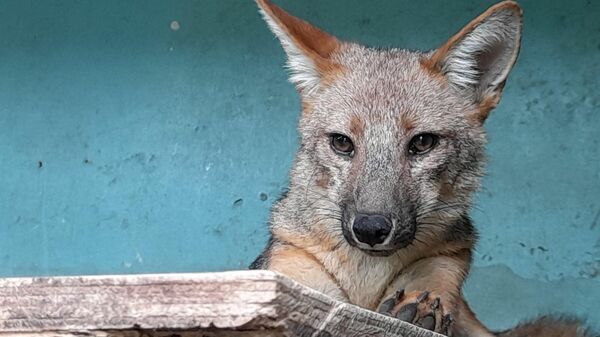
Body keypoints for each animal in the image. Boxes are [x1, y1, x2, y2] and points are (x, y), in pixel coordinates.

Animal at [250, 0, 596, 336]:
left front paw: (422, 304)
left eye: (422, 142)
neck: (366, 286)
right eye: (342, 143)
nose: (371, 228)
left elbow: (433, 278)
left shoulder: (449, 256)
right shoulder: (287, 273)